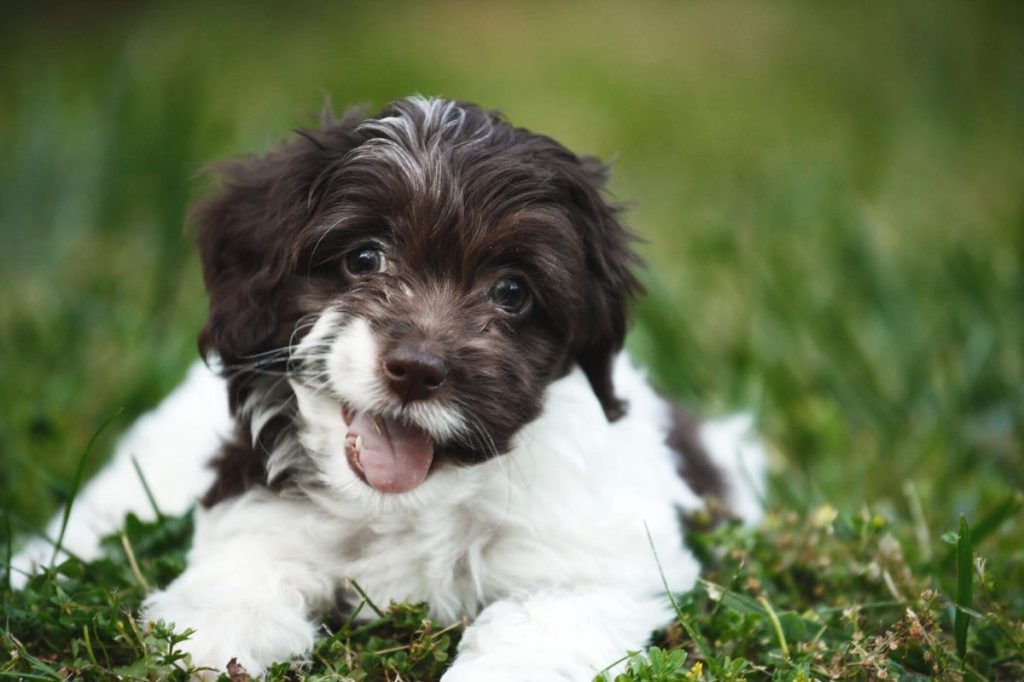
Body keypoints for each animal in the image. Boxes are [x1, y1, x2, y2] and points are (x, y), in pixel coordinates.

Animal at [12, 98, 765, 675]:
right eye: (364, 257)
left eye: (512, 292)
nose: (418, 368)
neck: (414, 501)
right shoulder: (259, 497)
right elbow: (239, 568)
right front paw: (219, 637)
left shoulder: (599, 563)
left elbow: (539, 622)